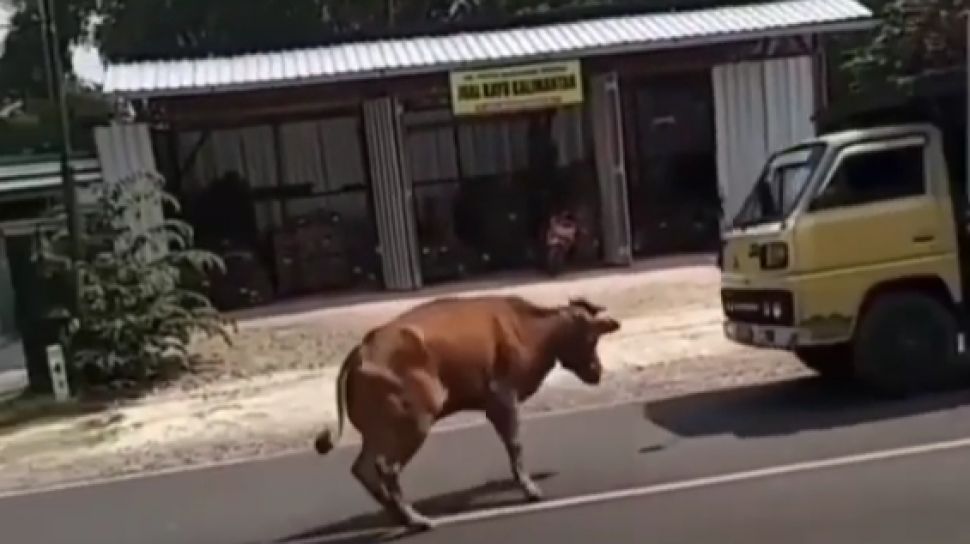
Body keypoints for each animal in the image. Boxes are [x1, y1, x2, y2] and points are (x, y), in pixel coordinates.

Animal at [314, 296, 624, 528]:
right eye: (591, 338)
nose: (597, 372)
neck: (535, 331)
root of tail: (360, 353)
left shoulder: (494, 405)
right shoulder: (503, 398)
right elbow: (516, 446)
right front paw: (529, 489)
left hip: (380, 430)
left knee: (363, 468)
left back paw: (401, 517)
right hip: (413, 422)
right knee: (387, 469)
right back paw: (416, 519)